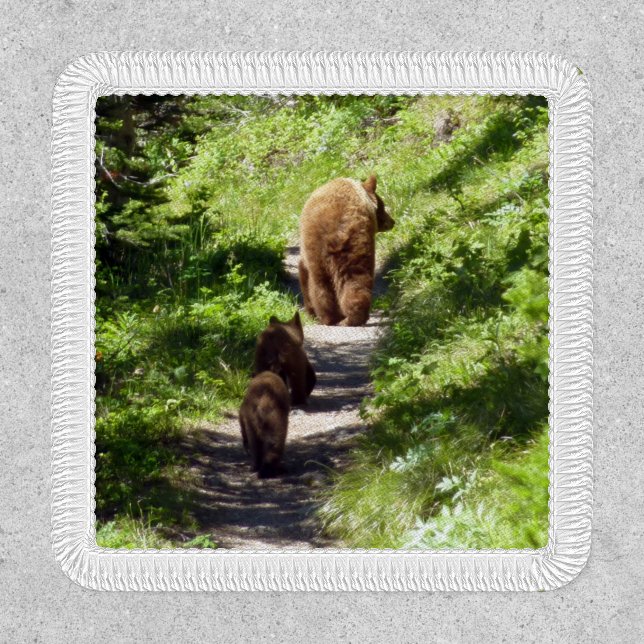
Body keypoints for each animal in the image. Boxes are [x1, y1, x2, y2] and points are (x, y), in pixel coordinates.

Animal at [298, 175, 394, 326]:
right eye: (383, 206)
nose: (392, 221)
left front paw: (310, 312)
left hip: (323, 248)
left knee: (322, 284)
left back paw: (331, 318)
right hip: (352, 247)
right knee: (354, 279)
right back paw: (349, 317)